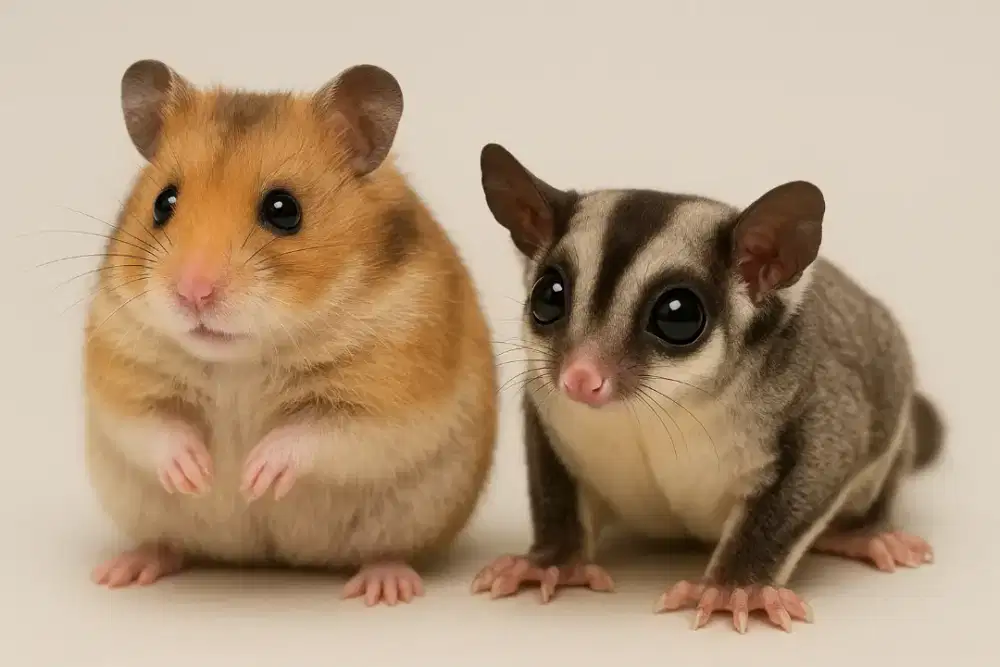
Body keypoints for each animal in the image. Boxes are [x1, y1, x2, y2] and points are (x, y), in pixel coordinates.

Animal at [83, 60, 497, 606]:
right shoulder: (123, 372)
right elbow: (153, 427)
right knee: (166, 544)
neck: (240, 360)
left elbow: (316, 434)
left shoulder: (387, 394)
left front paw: (254, 477)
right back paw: (123, 571)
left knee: (387, 552)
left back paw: (385, 587)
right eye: (163, 203)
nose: (192, 292)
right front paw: (200, 473)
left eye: (284, 210)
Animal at [470, 143, 943, 632]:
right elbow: (554, 485)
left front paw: (736, 588)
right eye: (549, 296)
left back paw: (866, 535)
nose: (581, 377)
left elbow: (825, 457)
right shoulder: (547, 404)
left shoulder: (819, 398)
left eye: (677, 315)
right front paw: (550, 562)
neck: (658, 408)